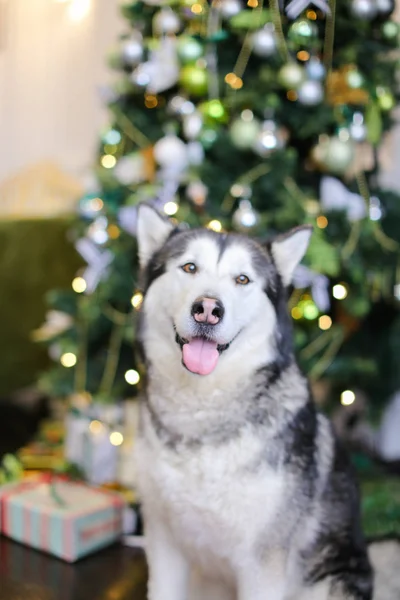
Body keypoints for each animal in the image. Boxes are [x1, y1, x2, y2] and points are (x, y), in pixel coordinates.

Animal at [134, 206, 372, 600]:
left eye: (242, 279)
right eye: (189, 267)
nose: (207, 308)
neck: (203, 416)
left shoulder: (263, 563)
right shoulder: (165, 541)